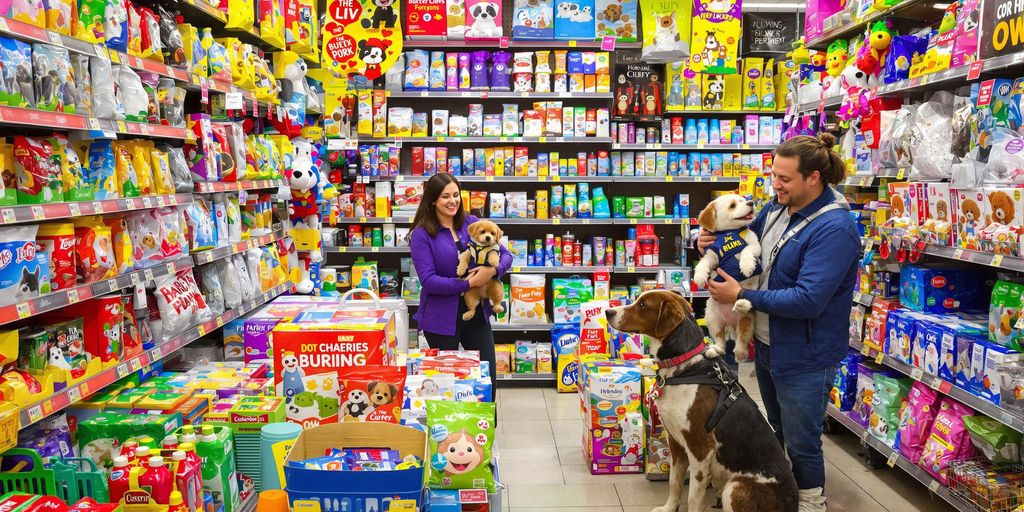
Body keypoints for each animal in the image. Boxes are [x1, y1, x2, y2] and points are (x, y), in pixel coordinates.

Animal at [602, 292, 794, 512]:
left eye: (642, 305)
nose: (608, 311)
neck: (684, 365)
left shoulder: (700, 448)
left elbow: (694, 496)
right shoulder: (675, 441)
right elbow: (674, 481)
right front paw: (669, 508)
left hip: (735, 488)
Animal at [696, 193, 761, 362]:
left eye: (743, 200)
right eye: (732, 205)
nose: (751, 203)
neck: (728, 233)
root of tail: (731, 323)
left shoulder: (755, 246)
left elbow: (746, 250)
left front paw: (746, 266)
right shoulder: (711, 256)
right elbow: (703, 262)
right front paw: (699, 276)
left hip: (748, 320)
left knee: (741, 343)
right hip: (712, 318)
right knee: (720, 341)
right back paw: (714, 350)